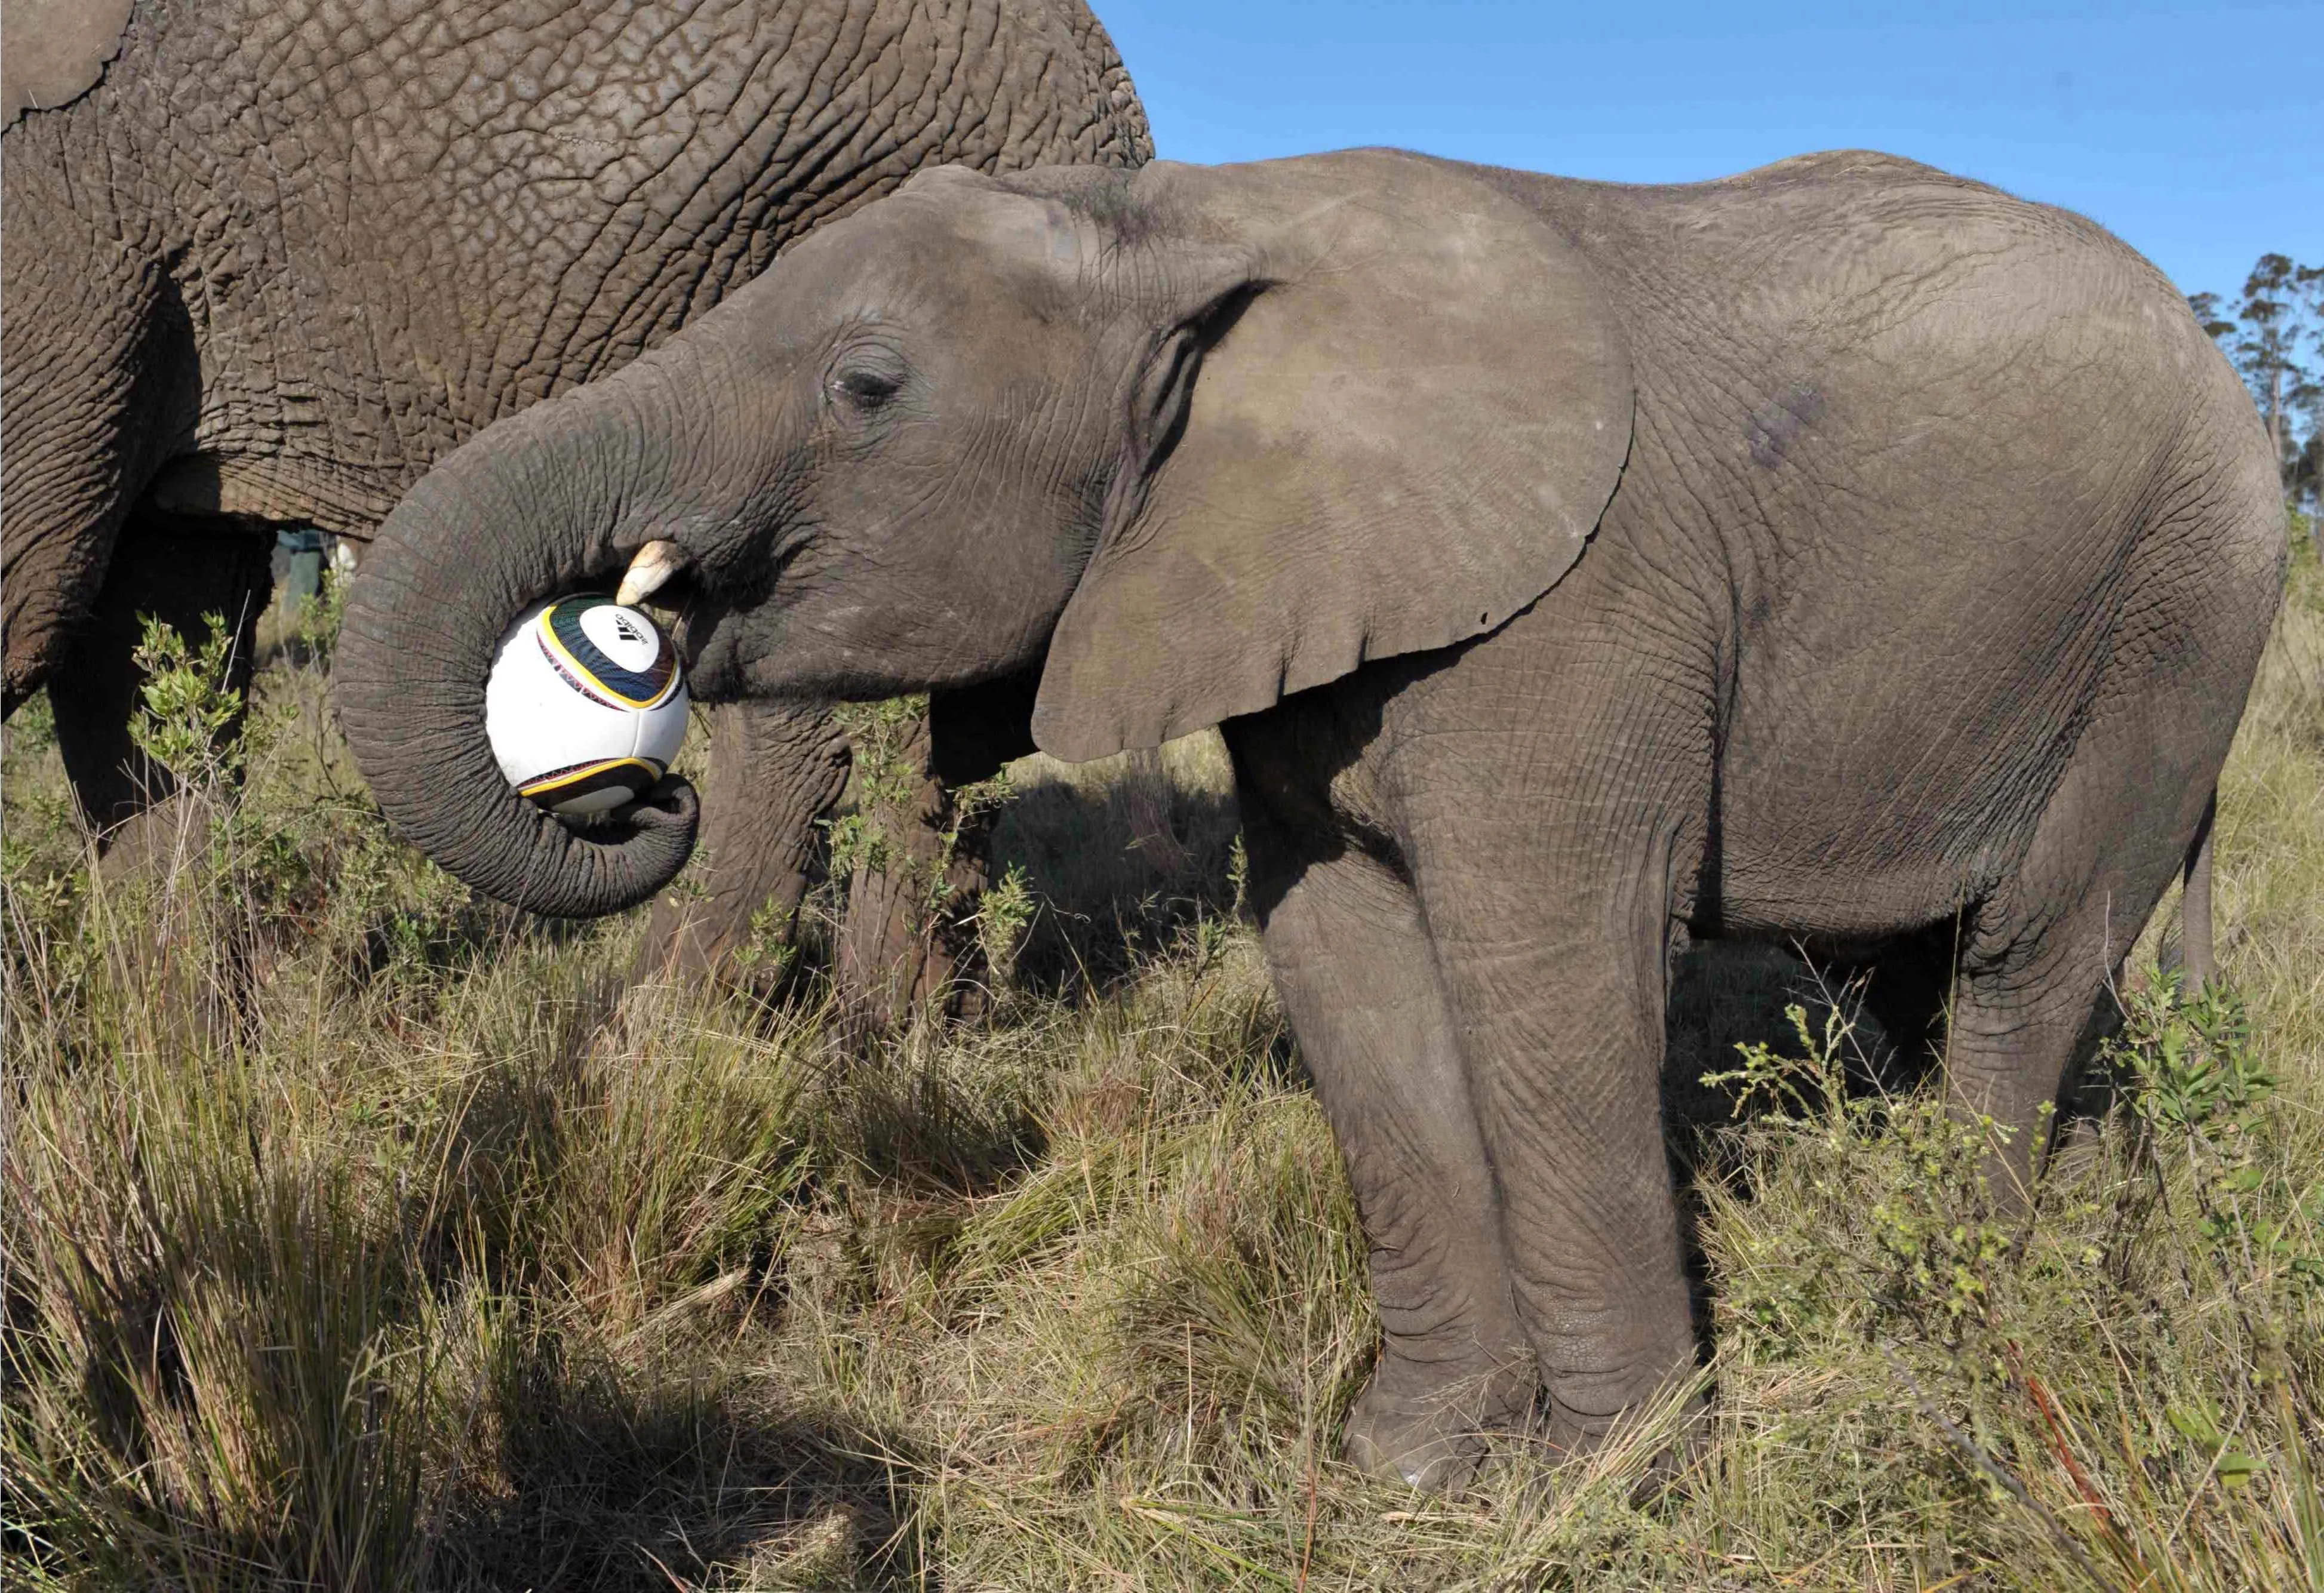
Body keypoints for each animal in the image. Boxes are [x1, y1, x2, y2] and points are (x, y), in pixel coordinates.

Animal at [4, 0, 1148, 994]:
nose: (643, 801)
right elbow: (145, 653)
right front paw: (181, 1052)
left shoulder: (65, 197)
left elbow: (29, 610)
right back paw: (893, 1026)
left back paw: (664, 1033)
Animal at [337, 143, 2277, 1495]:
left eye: (867, 386)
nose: (629, 758)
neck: (1177, 225)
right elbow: (1344, 962)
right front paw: (1410, 1468)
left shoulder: (1574, 617)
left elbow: (1546, 977)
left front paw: (1603, 1484)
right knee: (1913, 970)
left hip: (2178, 612)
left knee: (2026, 958)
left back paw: (1959, 1287)